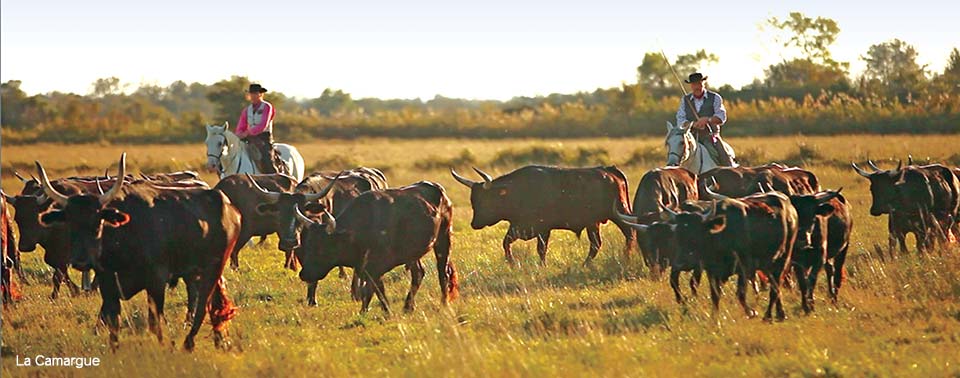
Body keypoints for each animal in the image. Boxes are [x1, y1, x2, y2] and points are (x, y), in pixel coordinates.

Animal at [35, 154, 242, 352]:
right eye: (70, 223)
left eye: (98, 222)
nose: (81, 261)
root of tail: (227, 203)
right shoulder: (108, 286)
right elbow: (113, 325)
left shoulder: (157, 282)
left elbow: (155, 323)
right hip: (199, 272)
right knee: (214, 303)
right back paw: (218, 340)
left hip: (213, 268)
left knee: (203, 305)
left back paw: (189, 344)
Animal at [452, 165, 636, 266]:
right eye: (473, 201)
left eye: (486, 199)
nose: (474, 224)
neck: (519, 191)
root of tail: (609, 170)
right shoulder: (518, 227)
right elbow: (506, 243)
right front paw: (513, 262)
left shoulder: (543, 229)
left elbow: (541, 249)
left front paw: (540, 265)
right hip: (594, 223)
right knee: (596, 244)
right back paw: (587, 264)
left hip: (618, 214)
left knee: (628, 234)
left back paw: (625, 257)